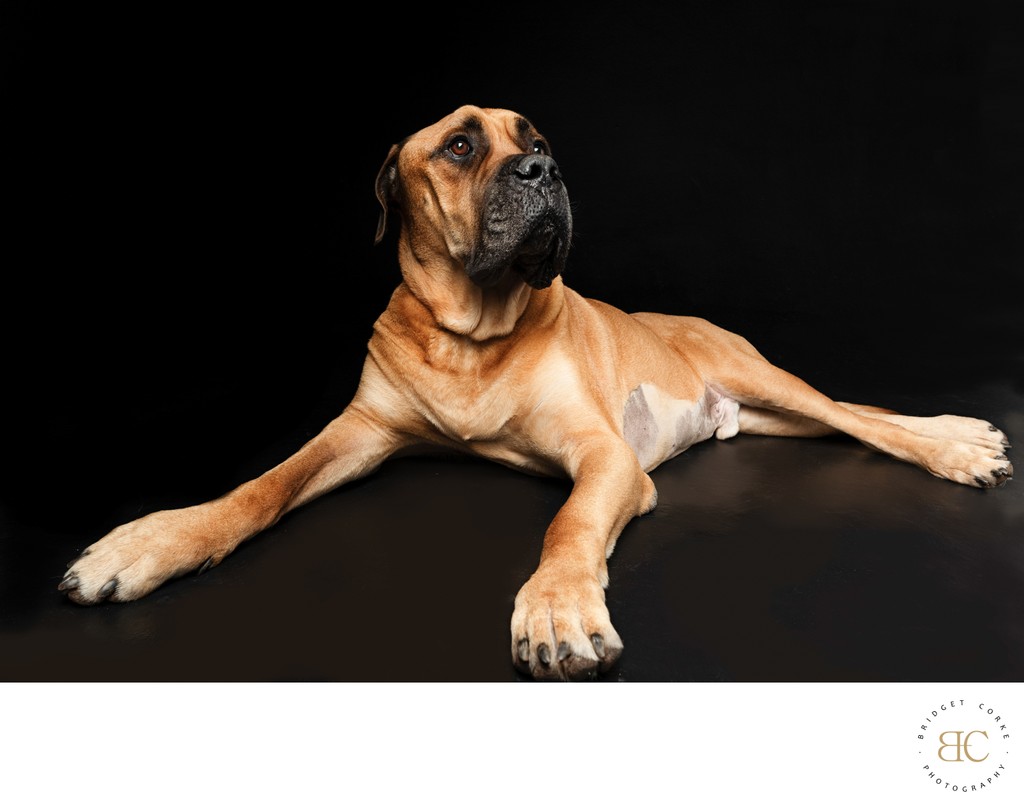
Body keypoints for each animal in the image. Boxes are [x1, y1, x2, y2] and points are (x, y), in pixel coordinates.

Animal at [59, 102, 1011, 680]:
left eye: (539, 141)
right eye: (461, 146)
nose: (542, 173)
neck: (470, 337)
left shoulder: (605, 455)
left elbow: (570, 523)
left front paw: (555, 609)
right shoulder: (358, 431)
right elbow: (262, 485)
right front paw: (152, 541)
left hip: (755, 373)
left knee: (863, 418)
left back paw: (959, 444)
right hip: (767, 417)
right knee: (852, 419)